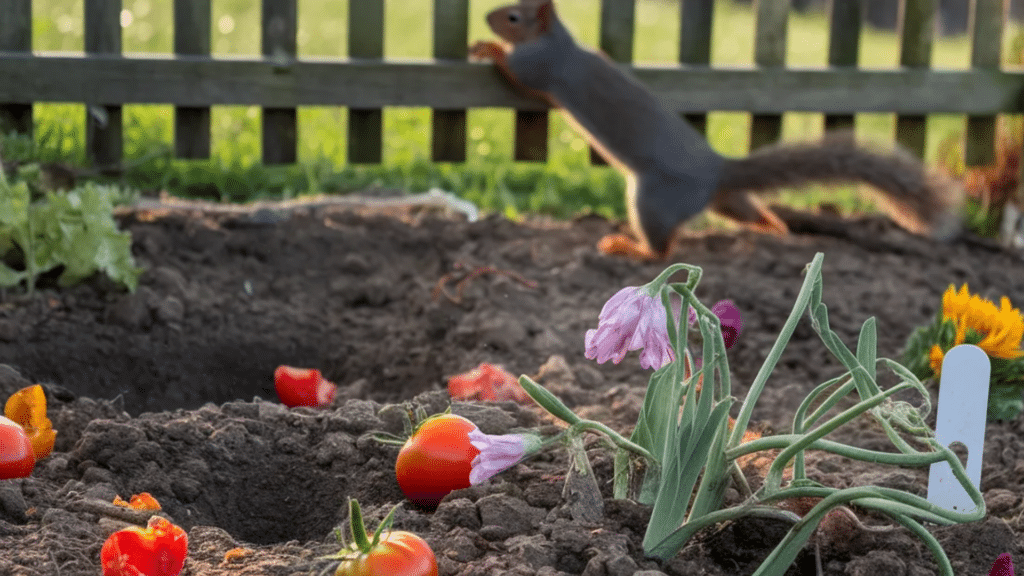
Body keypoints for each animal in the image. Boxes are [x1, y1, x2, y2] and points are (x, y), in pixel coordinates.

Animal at [470, 0, 963, 259]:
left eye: (513, 17)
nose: (487, 17)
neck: (560, 42)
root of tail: (717, 171)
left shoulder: (540, 67)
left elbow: (518, 77)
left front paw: (487, 49)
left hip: (653, 200)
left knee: (664, 251)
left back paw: (629, 247)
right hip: (726, 202)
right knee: (751, 211)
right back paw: (774, 229)